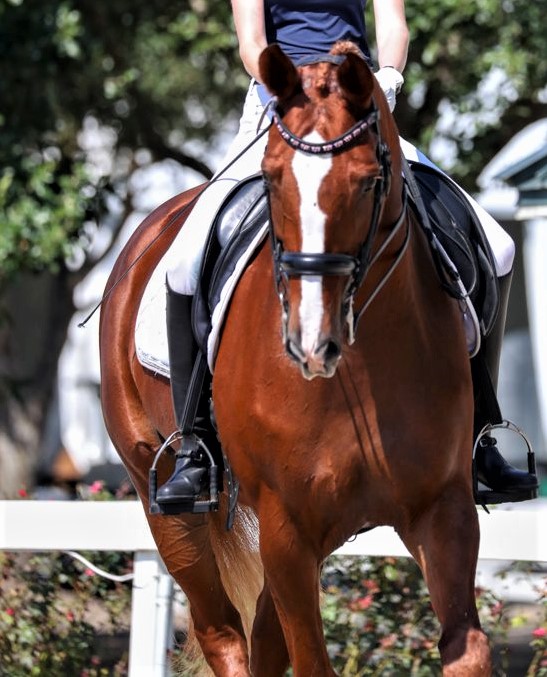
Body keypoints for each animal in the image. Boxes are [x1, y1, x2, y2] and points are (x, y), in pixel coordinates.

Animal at [99, 42, 492, 676]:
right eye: (272, 178)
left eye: (367, 182)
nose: (311, 341)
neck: (357, 375)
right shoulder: (286, 526)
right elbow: (307, 658)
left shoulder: (442, 508)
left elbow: (467, 648)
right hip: (161, 497)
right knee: (222, 630)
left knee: (261, 633)